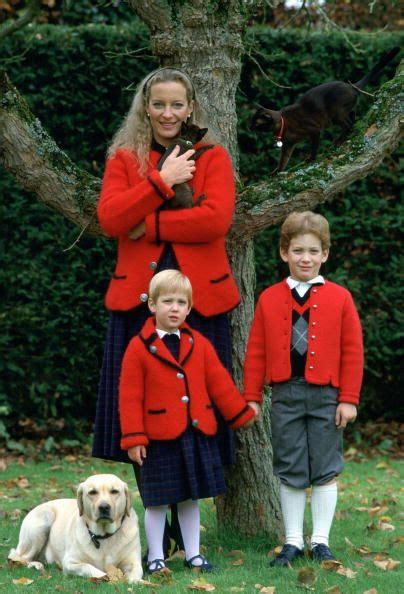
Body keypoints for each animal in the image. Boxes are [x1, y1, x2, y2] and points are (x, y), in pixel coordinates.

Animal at [7, 474, 144, 580]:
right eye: (92, 492)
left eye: (114, 491)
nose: (104, 507)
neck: (103, 535)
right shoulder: (69, 562)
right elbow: (88, 567)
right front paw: (105, 576)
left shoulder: (133, 561)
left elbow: (136, 574)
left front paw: (133, 581)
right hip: (43, 522)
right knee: (18, 557)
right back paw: (36, 565)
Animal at [251, 46, 400, 172]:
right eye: (251, 122)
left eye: (256, 123)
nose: (249, 127)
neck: (283, 124)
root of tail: (351, 86)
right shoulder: (288, 147)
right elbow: (283, 161)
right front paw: (276, 172)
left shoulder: (314, 131)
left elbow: (313, 148)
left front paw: (310, 159)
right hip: (343, 112)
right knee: (353, 117)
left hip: (335, 114)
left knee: (348, 124)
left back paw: (337, 141)